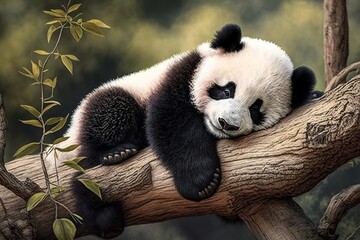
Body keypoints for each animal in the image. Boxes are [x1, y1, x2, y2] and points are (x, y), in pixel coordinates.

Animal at [50, 23, 316, 237]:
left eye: (255, 110)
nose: (226, 123)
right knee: (106, 118)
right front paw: (201, 181)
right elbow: (172, 123)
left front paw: (312, 96)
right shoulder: (181, 76)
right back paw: (113, 162)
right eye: (227, 90)